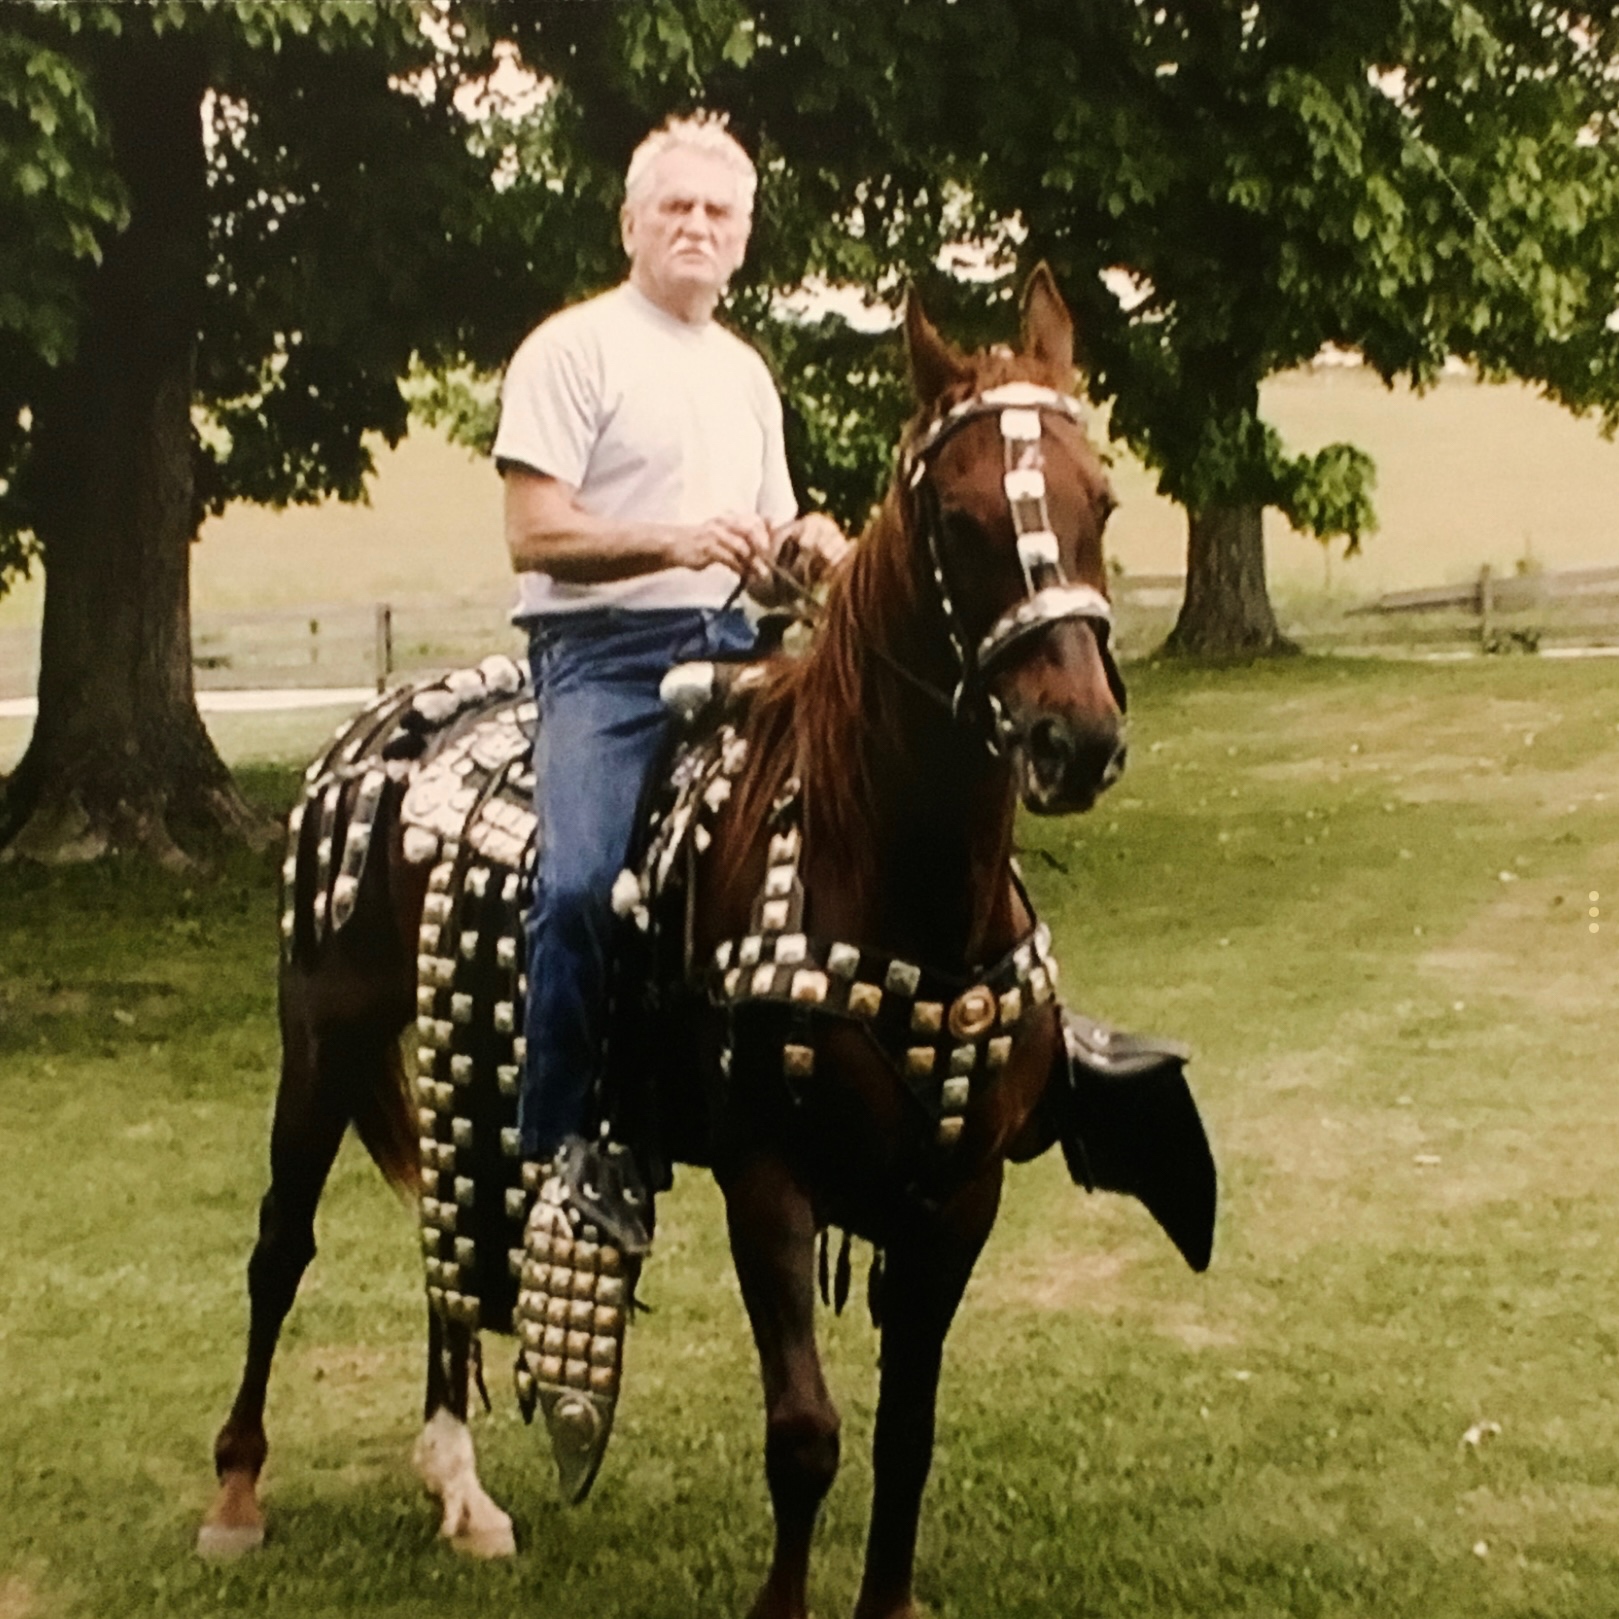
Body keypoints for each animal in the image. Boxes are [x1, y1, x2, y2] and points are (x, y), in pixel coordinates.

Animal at [195, 271, 1198, 1612]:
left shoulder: (955, 1197)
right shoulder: (765, 1181)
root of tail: (379, 726)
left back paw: (461, 1486)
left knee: (447, 1249)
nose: (1072, 738)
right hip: (323, 1034)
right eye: (957, 512)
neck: (882, 876)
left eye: (1102, 500)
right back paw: (238, 1491)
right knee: (279, 1244)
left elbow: (908, 1431)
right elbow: (805, 1434)